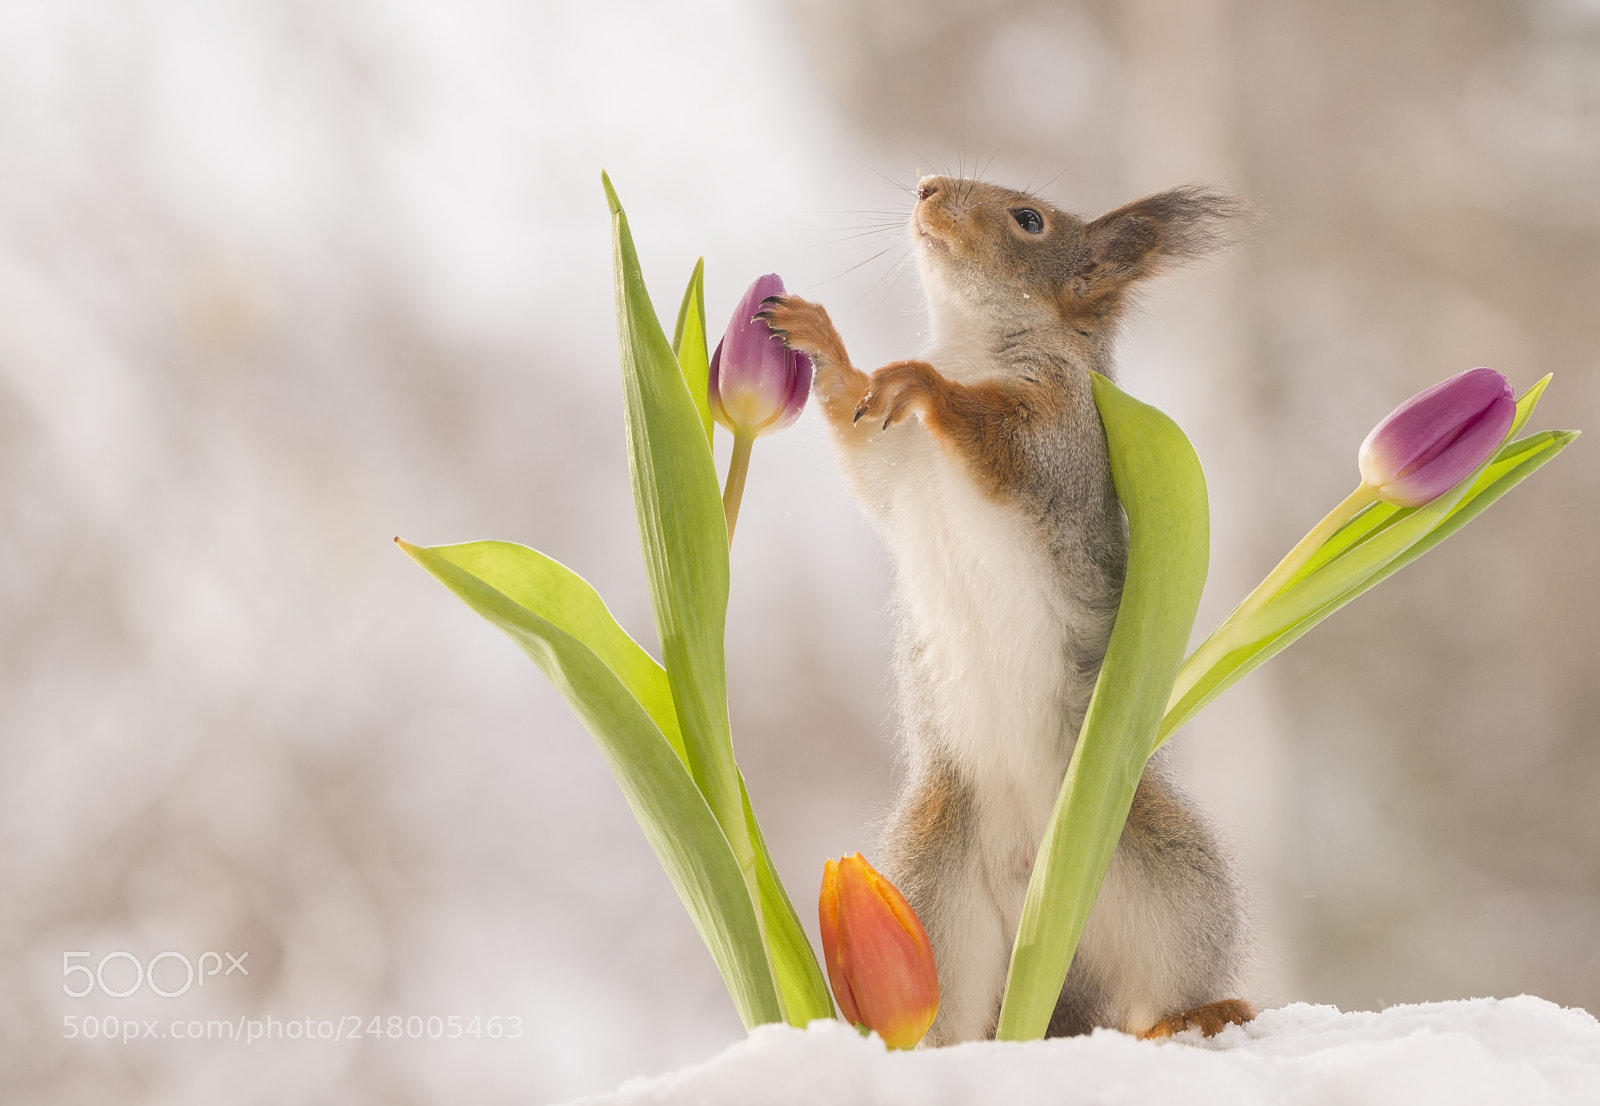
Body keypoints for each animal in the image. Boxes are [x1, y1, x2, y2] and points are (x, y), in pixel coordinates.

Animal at [759, 176, 1255, 1044]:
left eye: (1029, 220)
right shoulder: (890, 458)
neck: (970, 346)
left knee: (1168, 972)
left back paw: (1194, 1012)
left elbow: (1006, 446)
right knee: (948, 1013)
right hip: (936, 888)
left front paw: (924, 385)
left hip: (1161, 866)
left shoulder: (1065, 432)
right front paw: (818, 338)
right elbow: (858, 435)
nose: (927, 186)